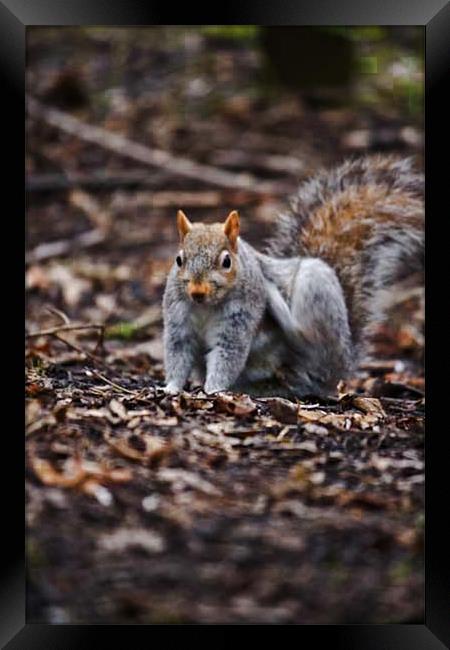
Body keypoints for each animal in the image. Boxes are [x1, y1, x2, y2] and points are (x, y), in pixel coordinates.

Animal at [163, 154, 424, 398]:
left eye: (226, 262)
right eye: (179, 260)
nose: (197, 292)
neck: (206, 306)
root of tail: (342, 365)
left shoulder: (238, 321)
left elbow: (227, 356)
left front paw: (213, 389)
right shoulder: (178, 321)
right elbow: (177, 355)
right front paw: (171, 387)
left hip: (315, 284)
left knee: (308, 340)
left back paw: (278, 303)